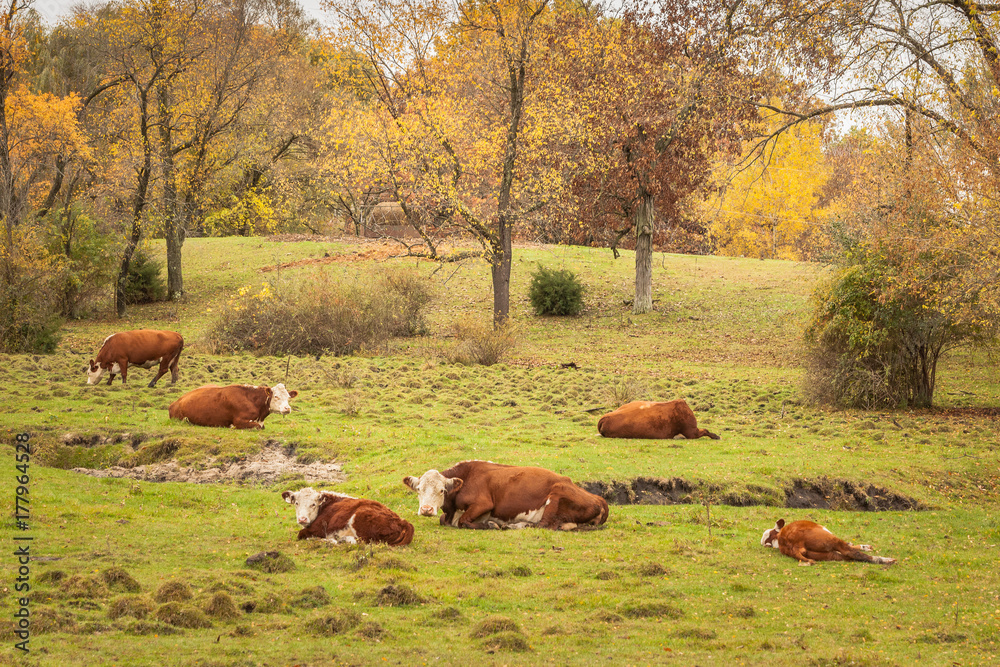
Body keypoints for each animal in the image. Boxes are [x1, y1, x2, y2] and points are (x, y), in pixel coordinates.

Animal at [168, 383, 298, 429]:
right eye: (276, 396)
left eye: (288, 397)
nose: (287, 408)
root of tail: (175, 402)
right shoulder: (239, 421)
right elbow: (257, 427)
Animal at [282, 487, 414, 546]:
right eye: (296, 503)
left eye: (313, 504)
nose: (302, 519)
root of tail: (403, 521)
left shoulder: (317, 529)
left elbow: (301, 535)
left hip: (360, 519)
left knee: (362, 542)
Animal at [403, 460, 609, 531]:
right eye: (419, 489)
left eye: (442, 490)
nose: (427, 509)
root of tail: (600, 499)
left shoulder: (484, 503)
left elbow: (464, 522)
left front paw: (490, 524)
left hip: (556, 494)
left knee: (543, 525)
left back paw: (511, 525)